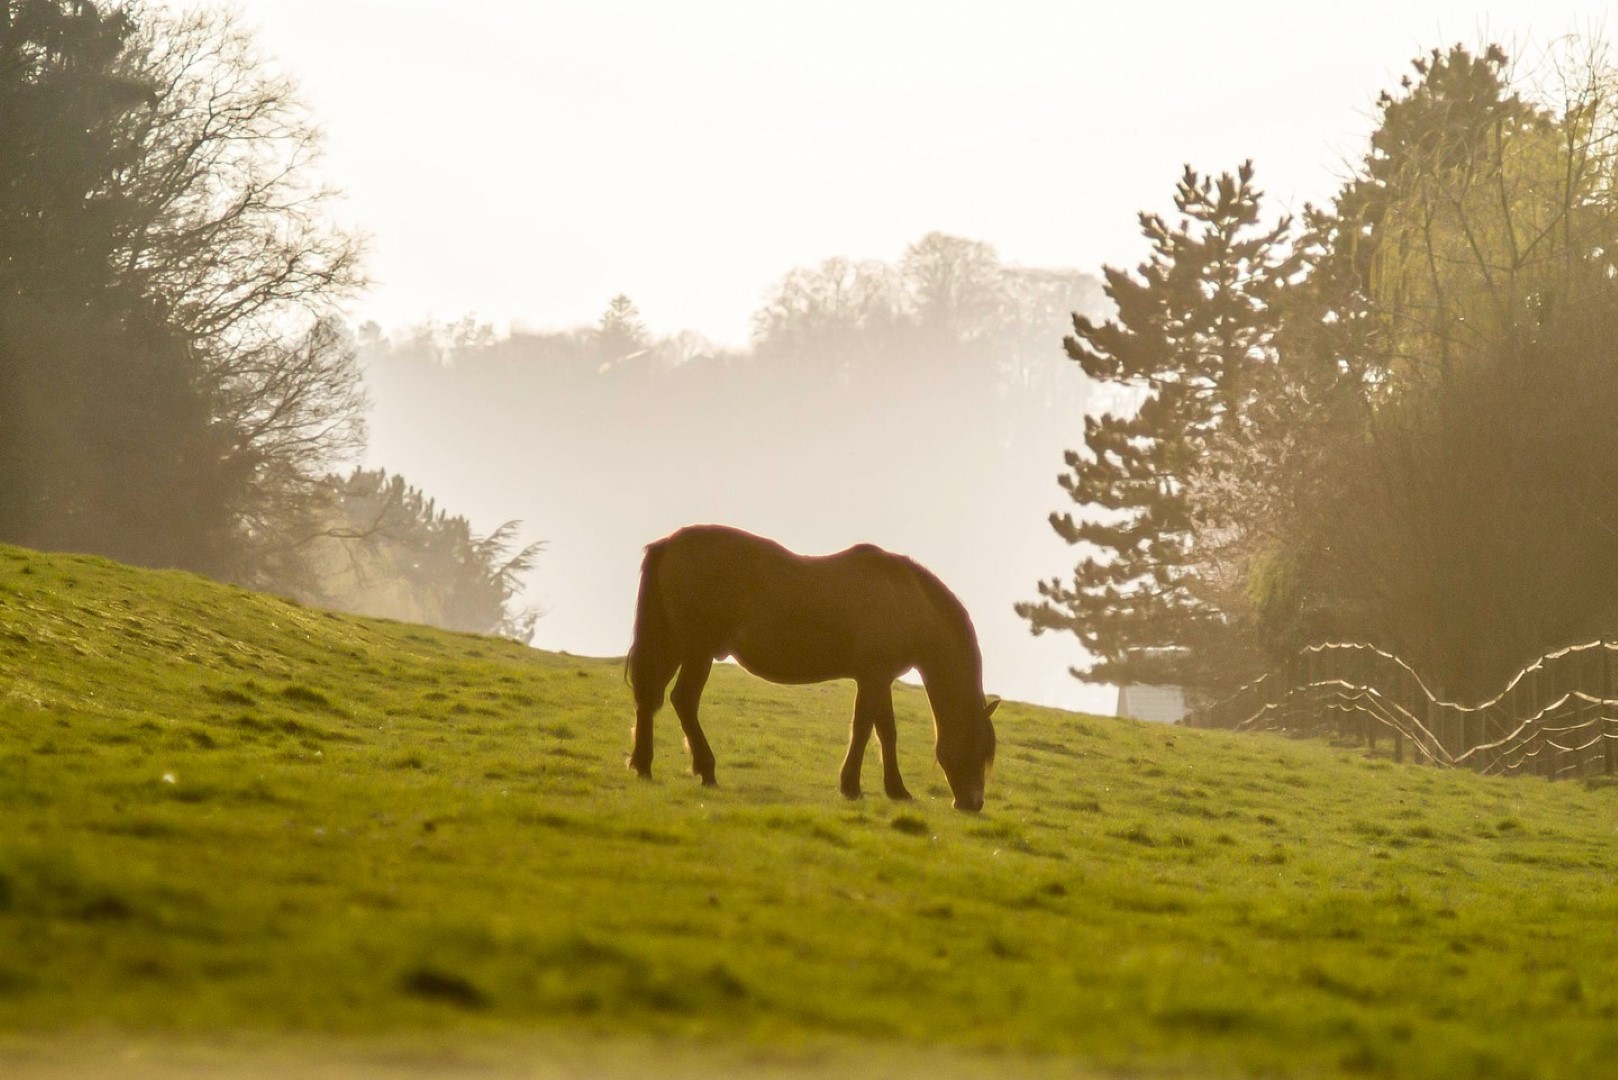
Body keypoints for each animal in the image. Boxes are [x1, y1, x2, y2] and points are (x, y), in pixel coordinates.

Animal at [621, 524, 990, 809]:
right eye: (978, 747)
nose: (972, 803)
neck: (907, 599)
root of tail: (669, 544)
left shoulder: (879, 678)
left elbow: (886, 732)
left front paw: (896, 789)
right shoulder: (872, 678)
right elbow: (863, 728)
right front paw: (851, 786)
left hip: (674, 644)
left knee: (649, 698)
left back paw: (643, 765)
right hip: (696, 650)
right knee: (682, 700)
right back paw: (705, 770)